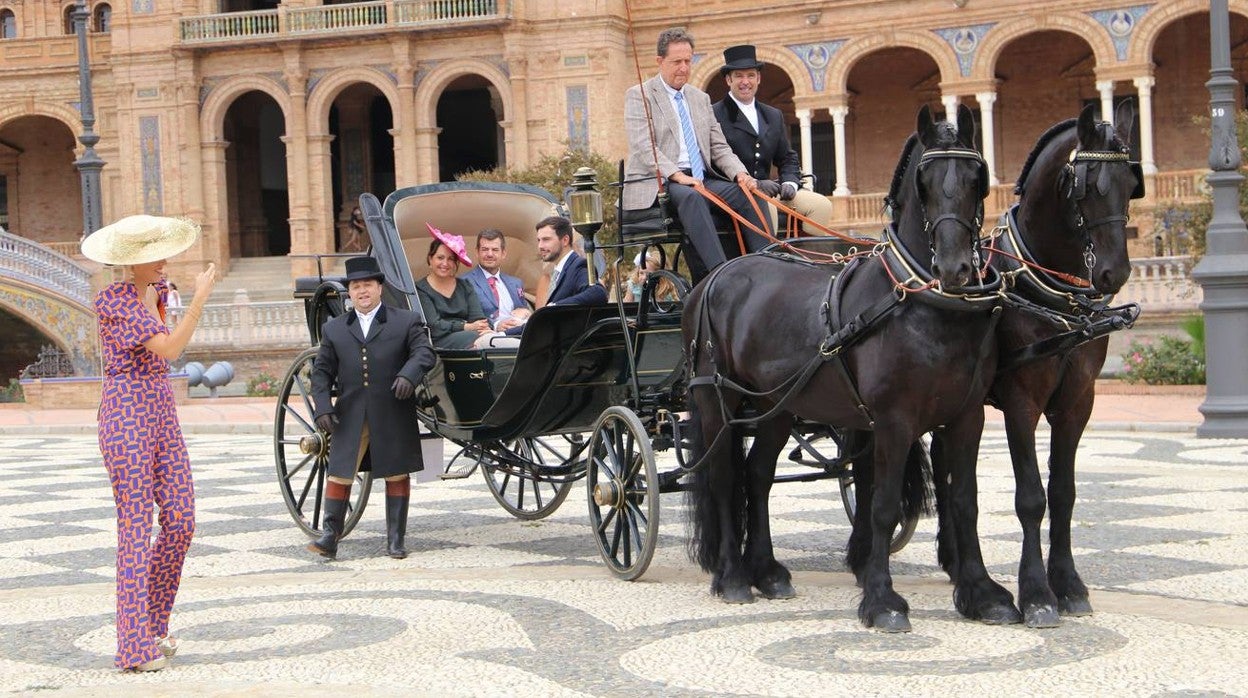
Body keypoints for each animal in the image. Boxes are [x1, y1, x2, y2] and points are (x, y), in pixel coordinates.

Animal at [678, 104, 1008, 634]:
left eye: (977, 177)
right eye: (924, 181)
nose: (955, 268)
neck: (923, 304)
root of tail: (711, 278)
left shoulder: (966, 418)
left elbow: (964, 501)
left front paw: (982, 593)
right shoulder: (894, 421)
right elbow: (882, 506)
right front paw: (882, 600)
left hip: (777, 408)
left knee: (758, 474)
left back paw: (766, 571)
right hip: (718, 401)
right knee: (726, 477)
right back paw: (732, 577)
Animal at [933, 101, 1143, 631]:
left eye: (1131, 183)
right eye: (1087, 185)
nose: (1114, 272)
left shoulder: (1078, 402)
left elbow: (1064, 492)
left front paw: (1068, 583)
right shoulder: (1020, 402)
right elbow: (1031, 497)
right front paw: (1036, 594)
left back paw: (954, 560)